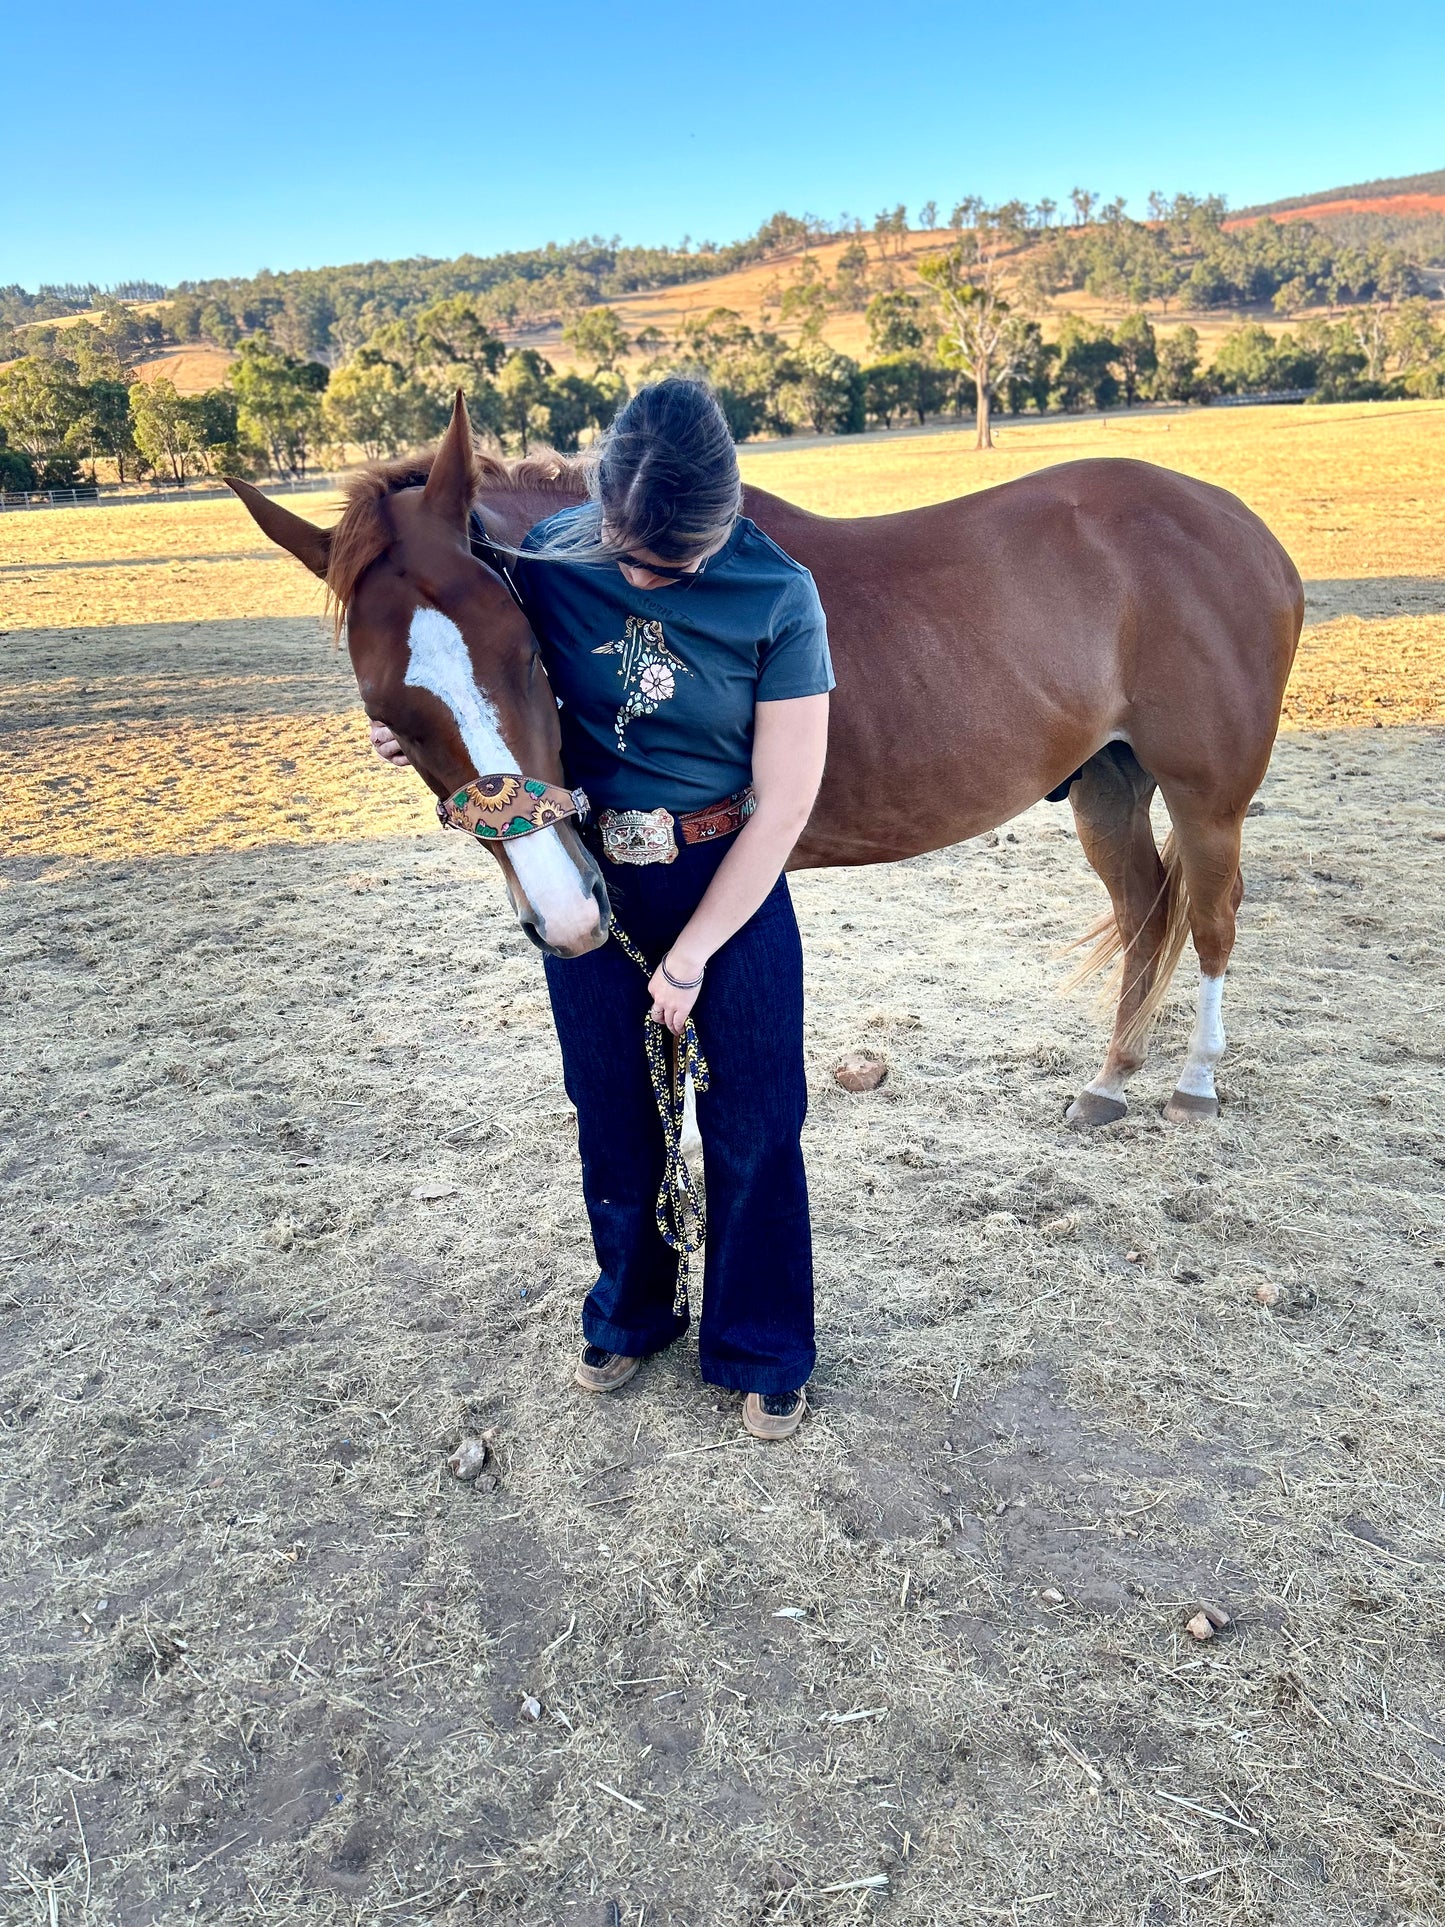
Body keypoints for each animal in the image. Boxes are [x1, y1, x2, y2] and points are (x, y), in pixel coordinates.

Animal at [232, 391, 1310, 1125]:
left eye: (526, 651)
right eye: (392, 716)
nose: (569, 917)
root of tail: (1242, 526)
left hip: (1205, 796)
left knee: (1209, 918)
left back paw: (1193, 1081)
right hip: (1107, 785)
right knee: (1142, 912)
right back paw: (1110, 1078)